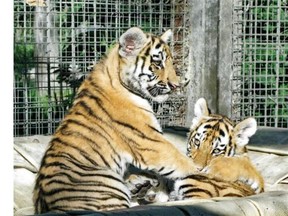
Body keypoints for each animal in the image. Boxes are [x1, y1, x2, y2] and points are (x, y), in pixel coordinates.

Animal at [32, 26, 198, 213]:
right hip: (109, 183)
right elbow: (184, 163)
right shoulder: (151, 143)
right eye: (157, 64)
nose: (176, 85)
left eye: (170, 62)